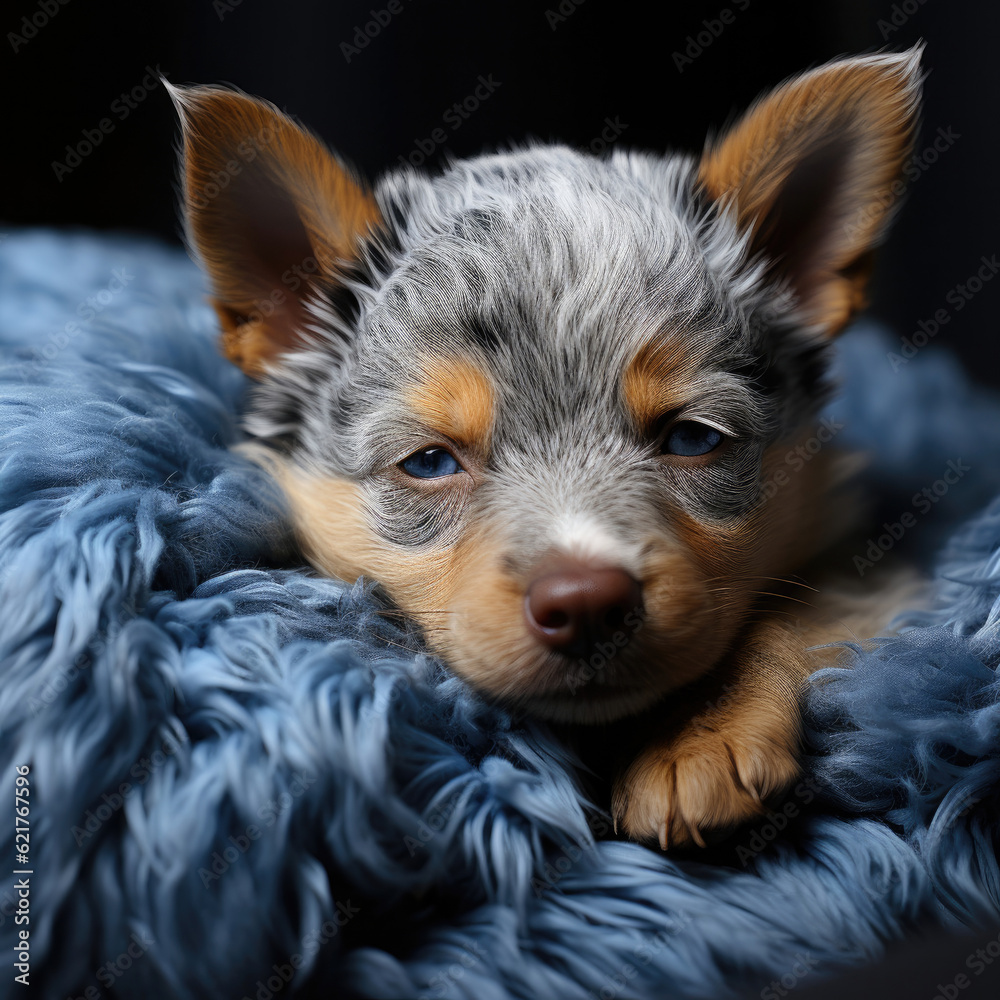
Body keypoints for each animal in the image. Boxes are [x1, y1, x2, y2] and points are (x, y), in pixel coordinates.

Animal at [168, 45, 924, 844]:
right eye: (429, 462)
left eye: (693, 438)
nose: (587, 604)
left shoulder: (867, 563)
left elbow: (790, 612)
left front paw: (702, 733)